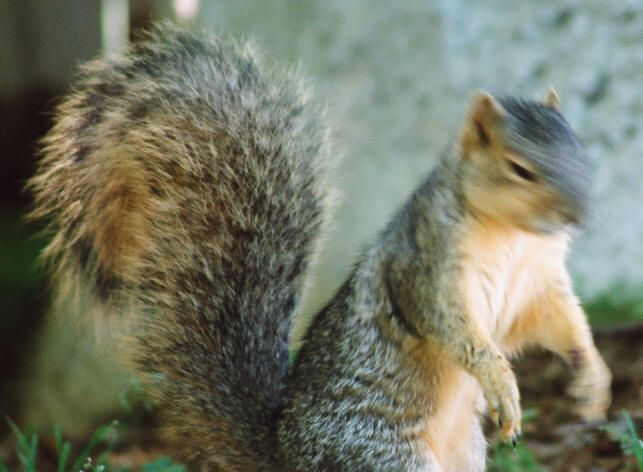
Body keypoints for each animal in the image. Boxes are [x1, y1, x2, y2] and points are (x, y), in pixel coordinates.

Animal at [28, 23, 612, 472]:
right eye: (519, 168)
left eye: (580, 151)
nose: (579, 214)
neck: (515, 236)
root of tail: (286, 456)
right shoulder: (425, 265)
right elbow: (453, 327)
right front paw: (501, 382)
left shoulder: (540, 282)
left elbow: (559, 322)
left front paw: (593, 378)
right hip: (381, 456)